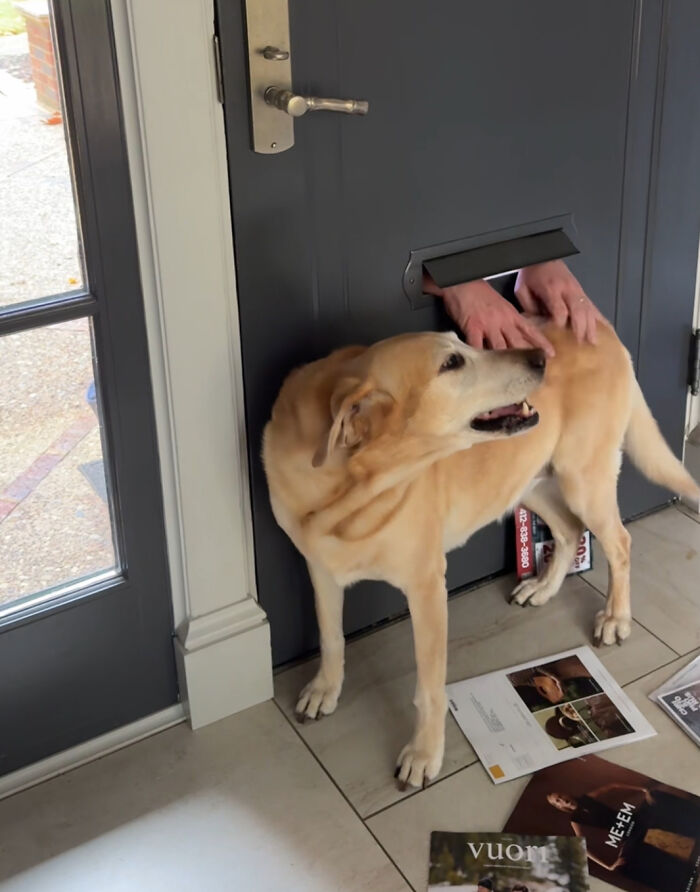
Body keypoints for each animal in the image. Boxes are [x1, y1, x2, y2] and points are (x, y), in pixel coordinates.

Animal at [264, 320, 700, 788]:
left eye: (460, 341)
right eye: (453, 361)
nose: (541, 358)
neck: (348, 489)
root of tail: (597, 323)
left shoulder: (426, 588)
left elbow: (429, 690)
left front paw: (423, 755)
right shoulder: (319, 566)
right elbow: (330, 637)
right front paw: (324, 689)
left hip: (583, 478)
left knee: (619, 543)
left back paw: (616, 618)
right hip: (527, 480)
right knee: (568, 531)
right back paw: (542, 589)